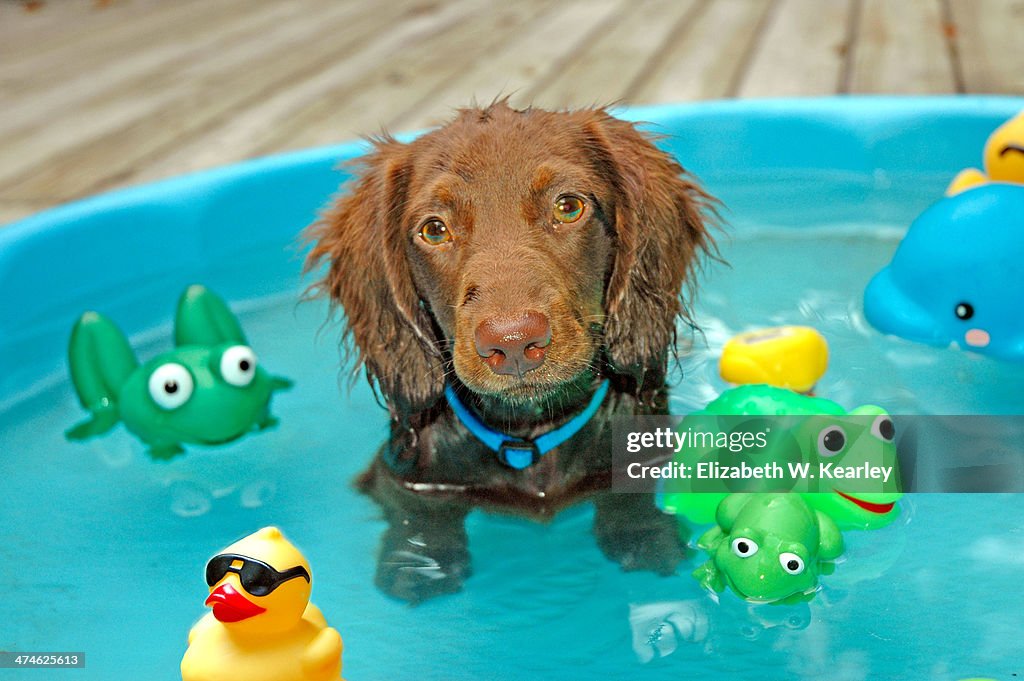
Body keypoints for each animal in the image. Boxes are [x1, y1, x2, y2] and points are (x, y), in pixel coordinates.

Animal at [307, 99, 716, 602]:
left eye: (569, 206)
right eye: (434, 230)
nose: (514, 342)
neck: (528, 434)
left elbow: (628, 492)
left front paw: (644, 538)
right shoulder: (406, 475)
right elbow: (418, 514)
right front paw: (419, 564)